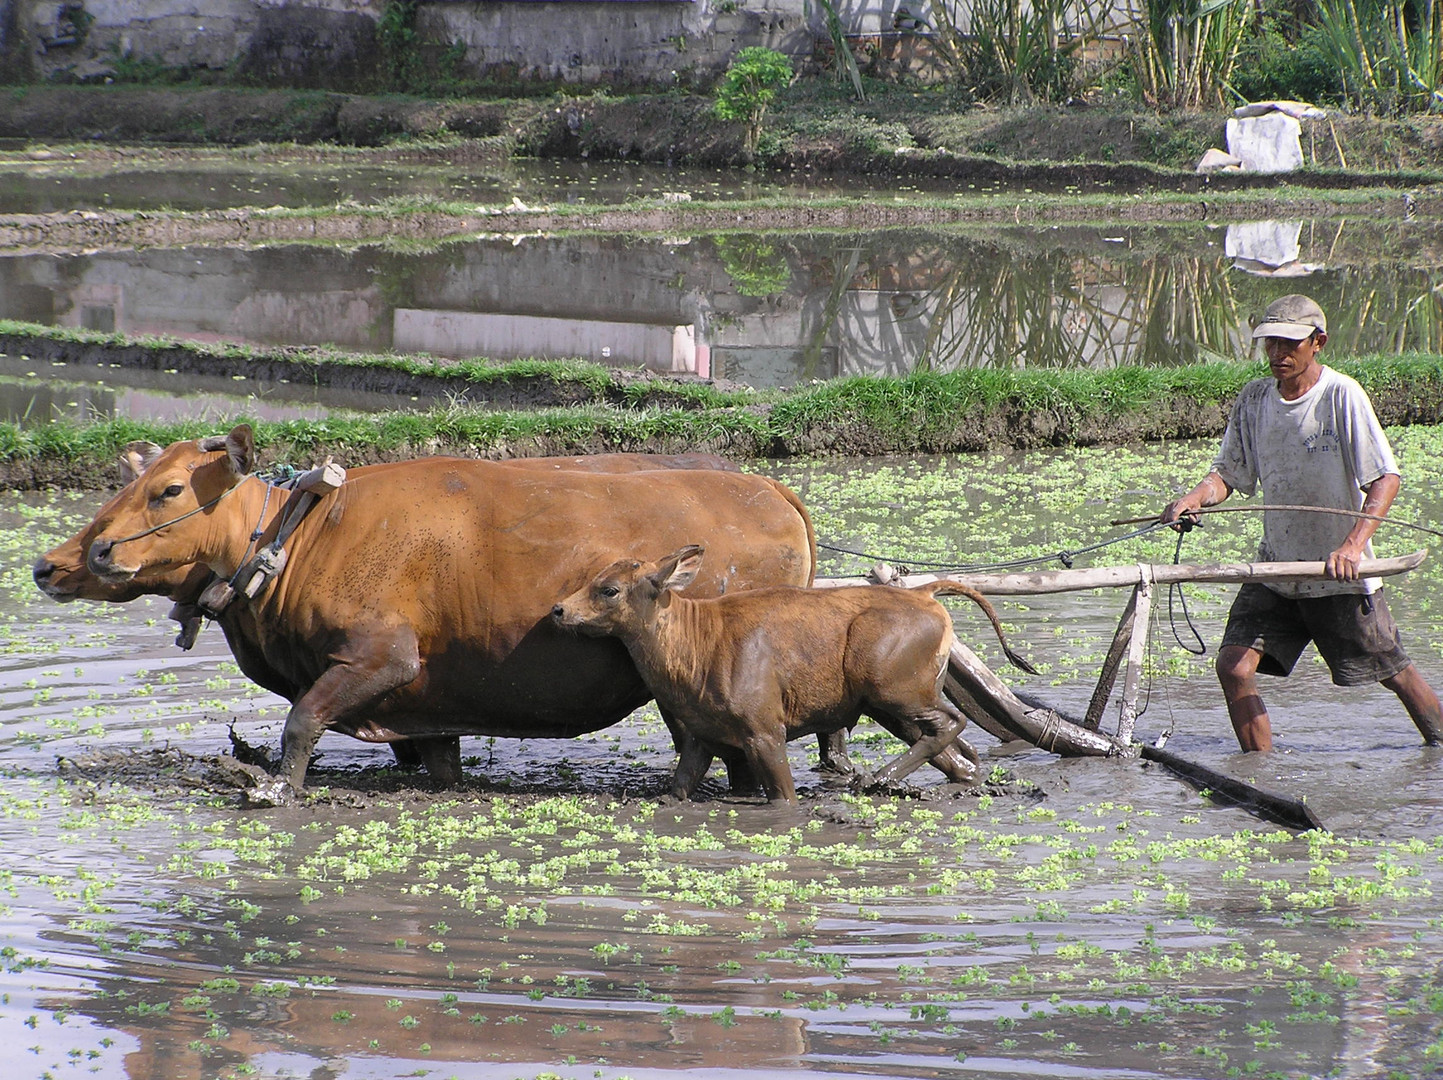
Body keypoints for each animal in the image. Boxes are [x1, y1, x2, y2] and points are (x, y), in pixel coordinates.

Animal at [551, 542, 1038, 797]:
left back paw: (874, 777)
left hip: (893, 685)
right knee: (957, 752)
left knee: (954, 721)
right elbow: (678, 790)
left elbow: (783, 798)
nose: (558, 610)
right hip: (891, 698)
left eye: (609, 589)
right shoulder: (701, 736)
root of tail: (929, 595)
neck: (693, 656)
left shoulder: (765, 727)